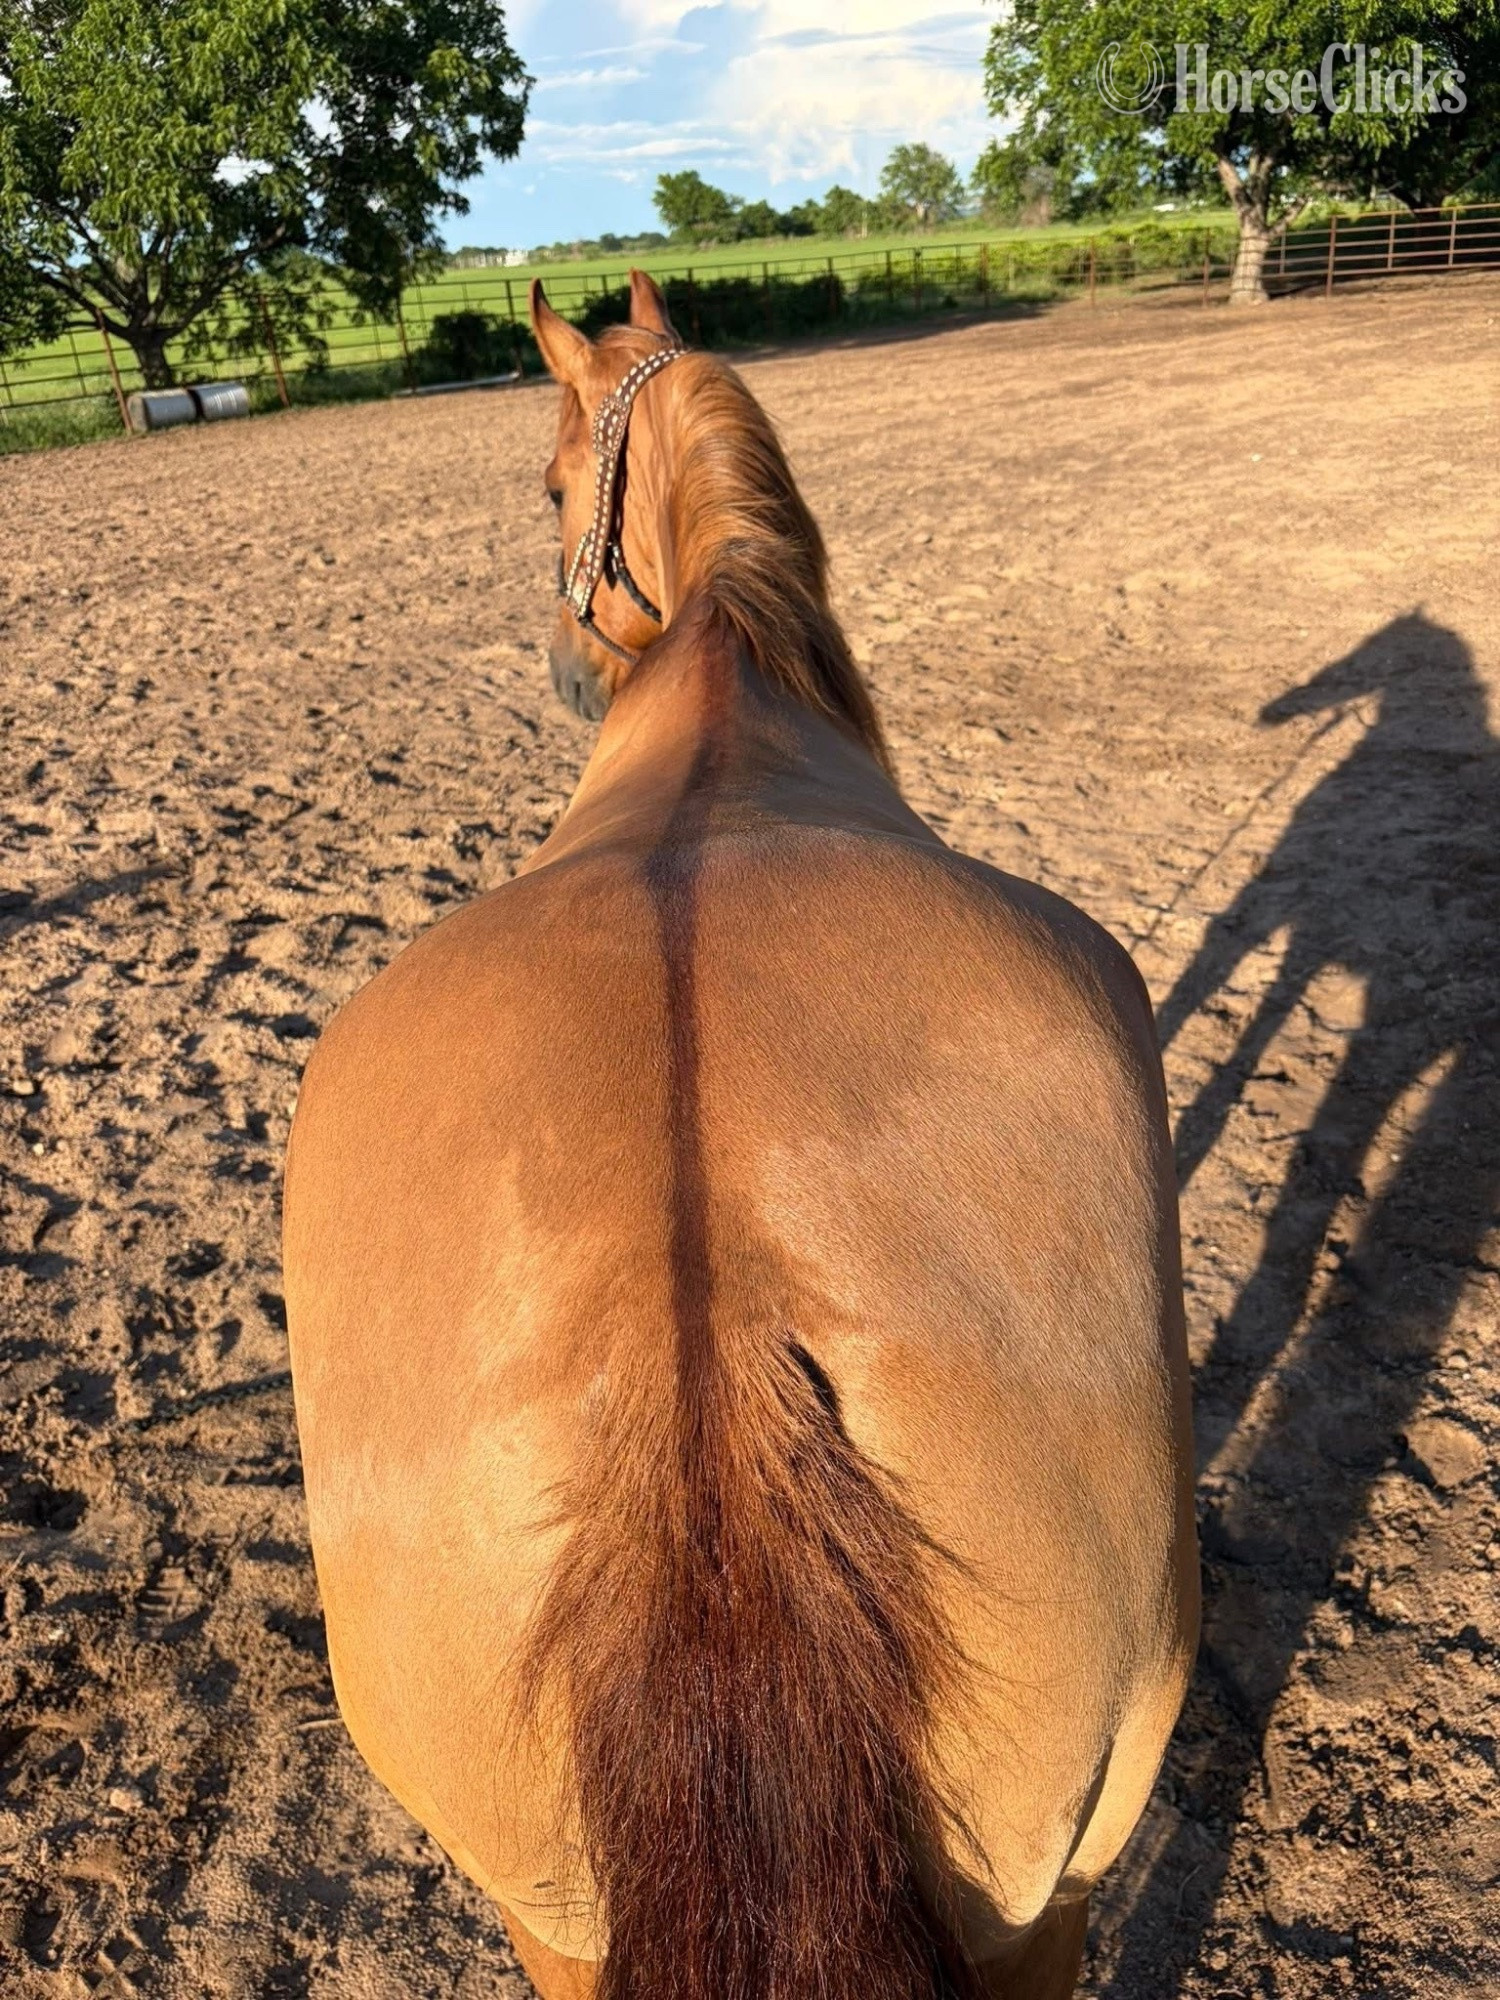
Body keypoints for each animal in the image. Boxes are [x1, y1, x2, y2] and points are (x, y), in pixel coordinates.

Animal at [282, 268, 1198, 2000]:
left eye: (550, 485)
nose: (565, 659)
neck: (720, 674)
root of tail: (706, 1322)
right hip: (1030, 1889)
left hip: (591, 1915)